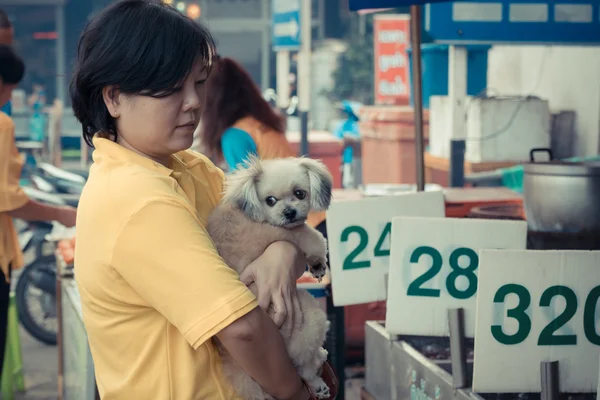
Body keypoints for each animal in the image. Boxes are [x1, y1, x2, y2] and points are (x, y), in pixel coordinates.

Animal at [207, 155, 332, 398]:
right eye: (270, 200)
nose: (289, 212)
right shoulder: (289, 233)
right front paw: (318, 262)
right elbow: (314, 237)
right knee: (303, 368)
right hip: (311, 317)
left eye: (300, 193)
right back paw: (317, 375)